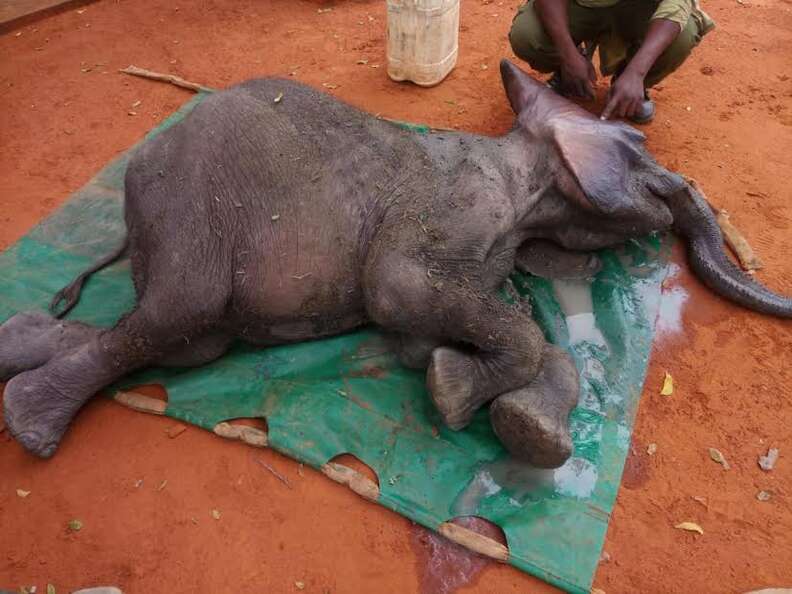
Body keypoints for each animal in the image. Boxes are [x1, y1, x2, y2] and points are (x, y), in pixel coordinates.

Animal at [1, 62, 792, 464]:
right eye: (638, 146)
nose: (677, 189)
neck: (523, 179)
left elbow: (442, 333)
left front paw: (490, 404)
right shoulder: (457, 207)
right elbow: (399, 293)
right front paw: (455, 395)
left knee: (168, 335)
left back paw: (20, 345)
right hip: (192, 205)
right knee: (168, 318)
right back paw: (31, 425)